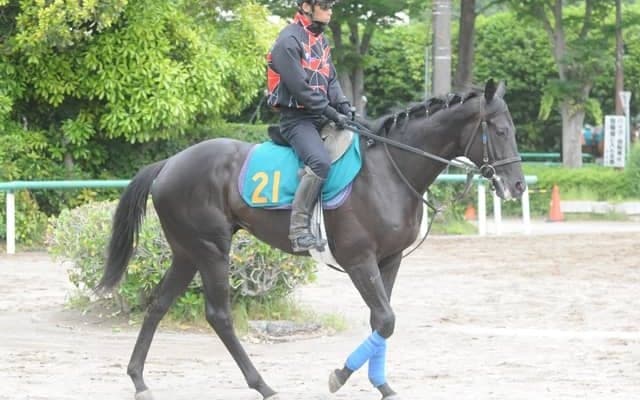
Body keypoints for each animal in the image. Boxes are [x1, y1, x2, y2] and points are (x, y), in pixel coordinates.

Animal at [98, 79, 525, 400]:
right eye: (500, 130)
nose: (517, 186)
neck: (388, 169)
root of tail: (169, 164)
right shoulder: (359, 260)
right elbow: (385, 319)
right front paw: (340, 376)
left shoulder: (390, 259)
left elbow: (382, 320)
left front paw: (381, 384)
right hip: (211, 250)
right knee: (219, 315)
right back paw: (263, 385)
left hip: (187, 252)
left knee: (158, 305)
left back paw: (138, 380)